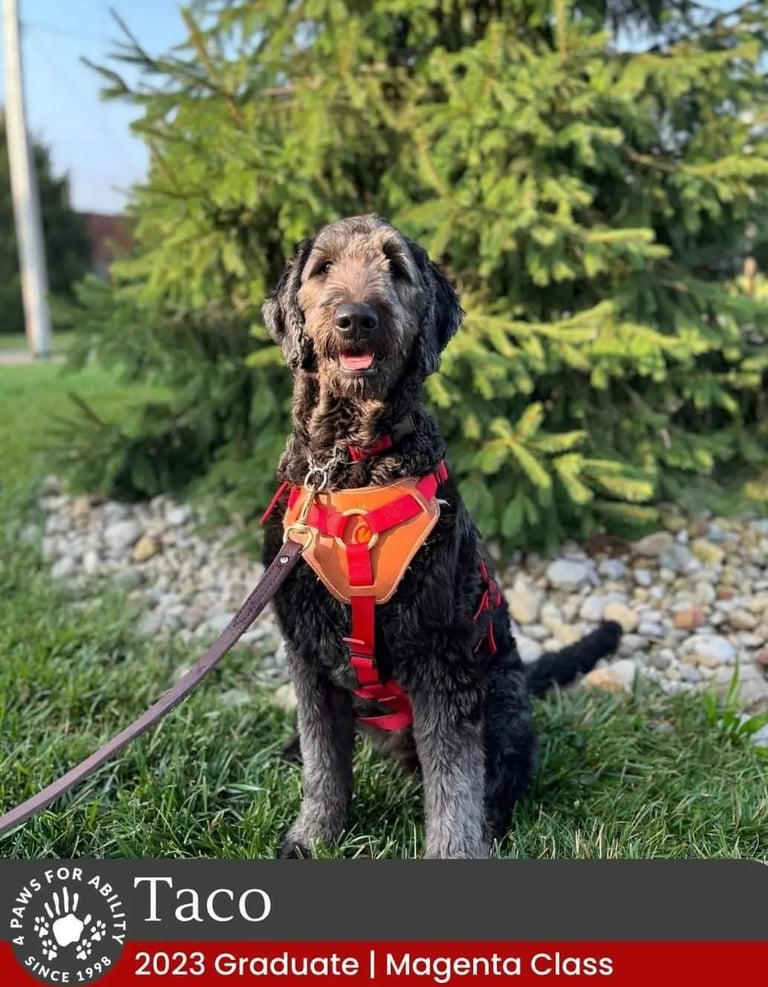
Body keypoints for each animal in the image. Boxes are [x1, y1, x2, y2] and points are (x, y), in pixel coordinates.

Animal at [261, 214, 621, 859]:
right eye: (322, 267)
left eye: (396, 268)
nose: (356, 317)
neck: (353, 464)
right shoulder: (305, 650)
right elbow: (325, 761)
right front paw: (313, 837)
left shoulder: (442, 660)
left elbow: (454, 782)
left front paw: (455, 852)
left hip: (500, 699)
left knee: (500, 778)